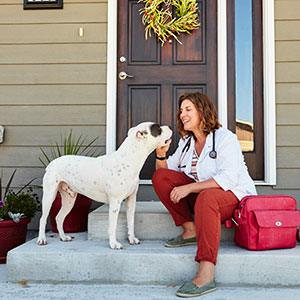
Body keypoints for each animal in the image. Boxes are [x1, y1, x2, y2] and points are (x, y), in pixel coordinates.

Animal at [37, 122, 172, 248]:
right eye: (158, 128)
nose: (170, 126)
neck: (129, 159)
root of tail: (52, 163)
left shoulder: (131, 199)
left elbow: (131, 221)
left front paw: (132, 239)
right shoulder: (115, 202)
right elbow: (112, 226)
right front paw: (114, 244)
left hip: (69, 199)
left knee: (59, 218)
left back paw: (63, 237)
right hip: (49, 196)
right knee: (43, 218)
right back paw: (42, 239)